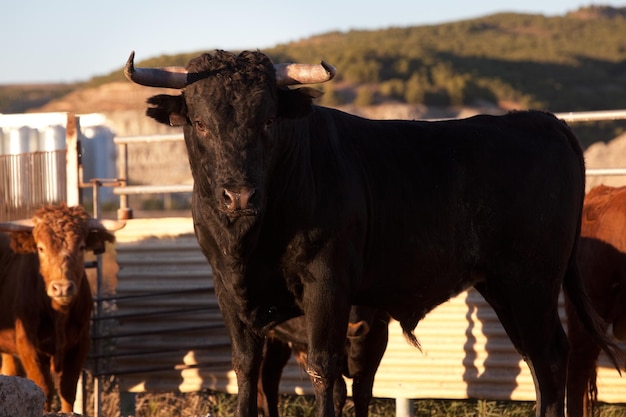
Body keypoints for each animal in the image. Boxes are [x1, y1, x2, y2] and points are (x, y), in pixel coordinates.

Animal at [0, 203, 124, 412]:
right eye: (41, 248)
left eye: (81, 247)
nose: (62, 288)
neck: (59, 314)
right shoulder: (28, 345)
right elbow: (43, 388)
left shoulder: (79, 344)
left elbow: (67, 389)